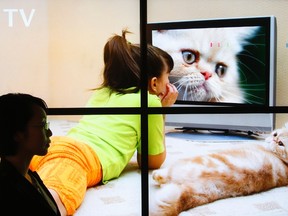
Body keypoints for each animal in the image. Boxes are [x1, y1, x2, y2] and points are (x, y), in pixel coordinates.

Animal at [150, 125, 288, 216]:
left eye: (281, 143)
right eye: (275, 134)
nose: (274, 139)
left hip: (185, 164)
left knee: (164, 175)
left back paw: (156, 174)